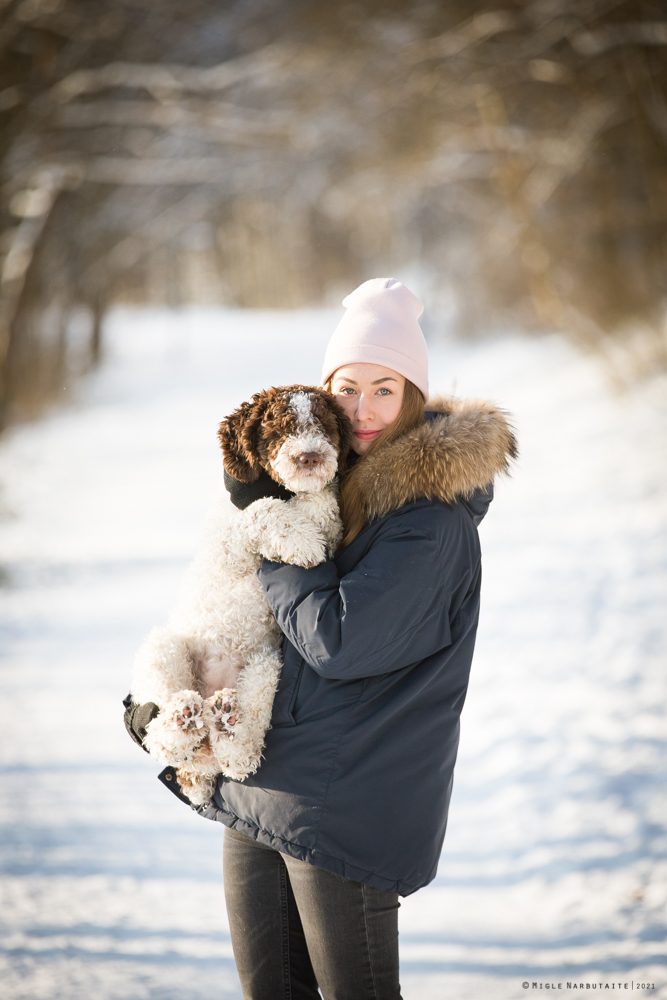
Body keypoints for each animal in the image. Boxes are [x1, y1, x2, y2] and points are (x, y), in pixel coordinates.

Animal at [128, 382, 352, 804]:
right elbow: (264, 509)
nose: (309, 457)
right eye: (279, 430)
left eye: (325, 426)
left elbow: (322, 507)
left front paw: (312, 522)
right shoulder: (233, 529)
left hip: (265, 667)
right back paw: (183, 721)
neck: (288, 492)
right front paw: (302, 542)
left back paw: (230, 729)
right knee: (162, 735)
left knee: (237, 751)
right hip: (164, 650)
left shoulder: (329, 524)